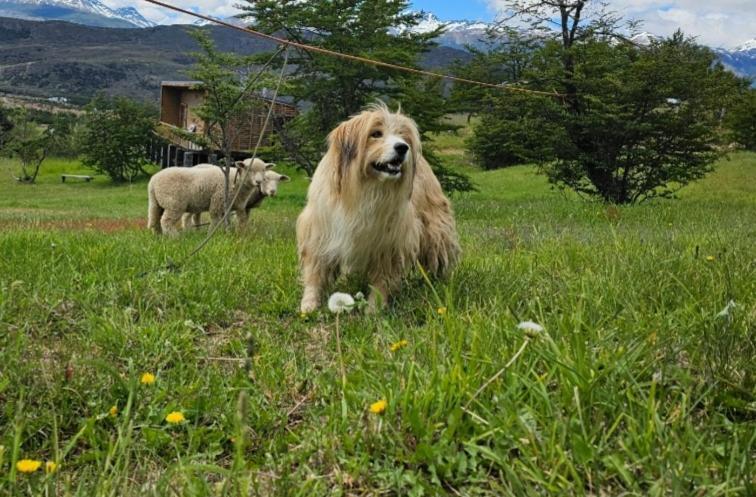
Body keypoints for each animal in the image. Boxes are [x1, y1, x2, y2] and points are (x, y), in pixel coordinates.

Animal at [146, 159, 274, 236]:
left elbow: (235, 220)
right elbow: (216, 220)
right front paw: (212, 234)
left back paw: (158, 235)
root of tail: (153, 181)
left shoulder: (232, 205)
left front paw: (233, 233)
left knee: (154, 218)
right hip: (174, 203)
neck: (237, 181)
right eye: (249, 169)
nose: (258, 181)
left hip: (157, 202)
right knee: (166, 221)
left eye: (264, 170)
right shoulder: (217, 200)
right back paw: (174, 237)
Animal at [296, 101, 460, 312]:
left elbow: (382, 279)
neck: (366, 189)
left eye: (402, 135)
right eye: (375, 134)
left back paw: (439, 284)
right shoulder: (319, 231)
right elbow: (315, 270)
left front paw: (374, 307)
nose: (403, 148)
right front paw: (309, 303)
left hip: (435, 231)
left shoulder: (389, 243)